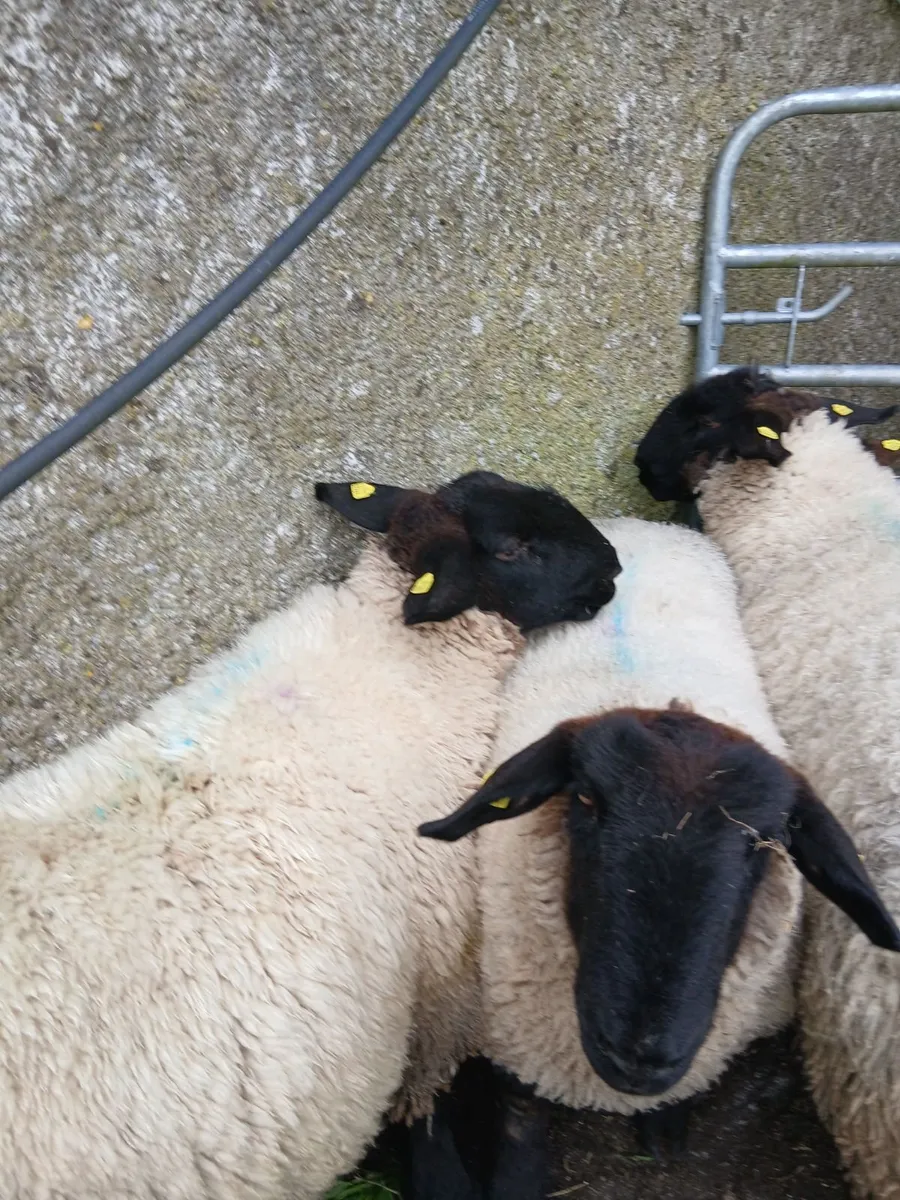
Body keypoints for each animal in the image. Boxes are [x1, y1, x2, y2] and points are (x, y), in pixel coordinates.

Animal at [418, 516, 899, 1200]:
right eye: (585, 799)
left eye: (763, 840)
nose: (639, 1058)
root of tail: (638, 523)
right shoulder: (514, 1043)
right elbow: (519, 1122)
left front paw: (665, 1125)